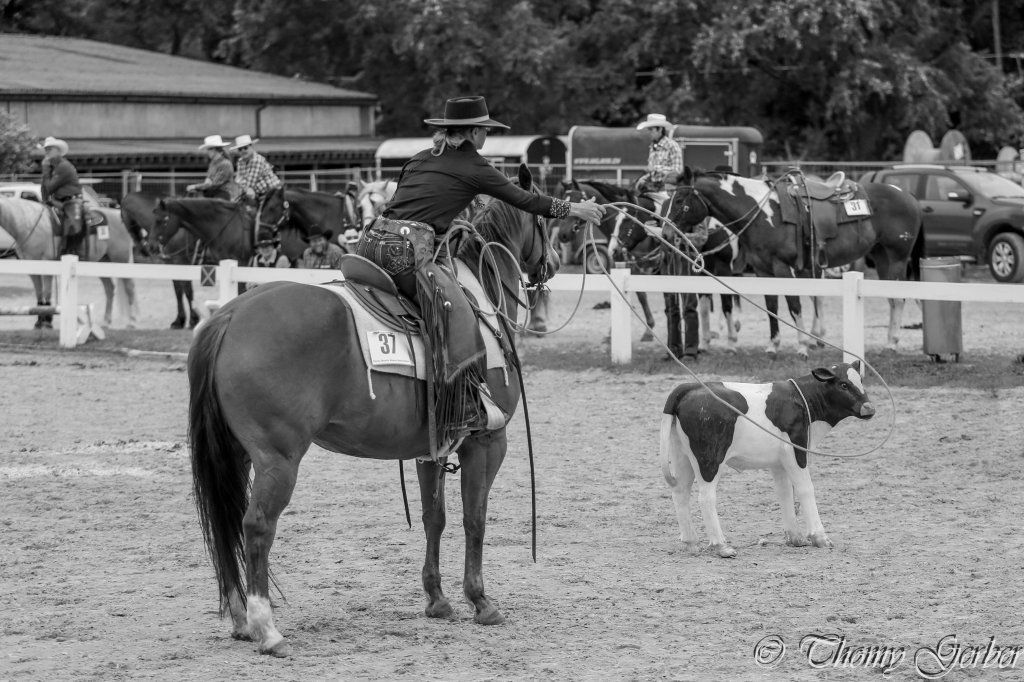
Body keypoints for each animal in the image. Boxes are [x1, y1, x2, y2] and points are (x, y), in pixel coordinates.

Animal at [0, 197, 138, 329]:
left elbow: (47, 293)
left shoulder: (47, 263)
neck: (29, 223)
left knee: (129, 288)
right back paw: (106, 322)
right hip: (102, 262)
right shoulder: (32, 269)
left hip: (121, 260)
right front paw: (39, 322)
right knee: (109, 289)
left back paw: (132, 322)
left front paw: (47, 322)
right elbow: (39, 294)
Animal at [121, 191, 201, 329]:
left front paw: (193, 320)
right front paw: (179, 320)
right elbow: (178, 291)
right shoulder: (171, 263)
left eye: (123, 216)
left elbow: (188, 290)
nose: (145, 249)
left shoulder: (182, 262)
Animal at [186, 165, 556, 657]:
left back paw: (241, 619)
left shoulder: (431, 449)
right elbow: (474, 519)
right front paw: (481, 600)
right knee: (257, 525)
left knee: (225, 522)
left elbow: (434, 518)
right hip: (277, 459)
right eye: (544, 222)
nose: (552, 263)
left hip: (236, 453)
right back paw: (267, 629)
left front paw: (437, 599)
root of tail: (230, 316)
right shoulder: (487, 441)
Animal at [666, 168, 923, 354]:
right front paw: (773, 345)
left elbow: (793, 305)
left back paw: (892, 343)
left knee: (898, 300)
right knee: (891, 300)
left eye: (679, 200)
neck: (761, 212)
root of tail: (908, 195)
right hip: (881, 257)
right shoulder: (763, 270)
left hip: (897, 257)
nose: (667, 232)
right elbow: (771, 307)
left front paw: (802, 346)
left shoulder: (782, 267)